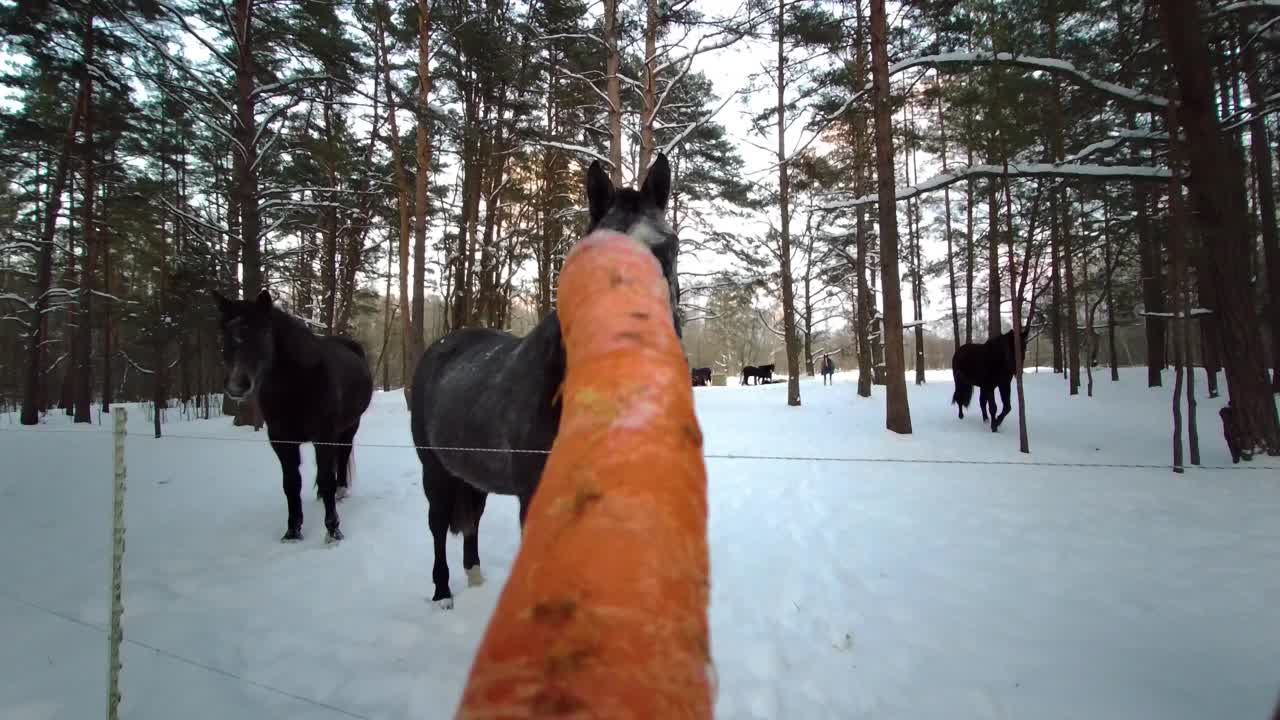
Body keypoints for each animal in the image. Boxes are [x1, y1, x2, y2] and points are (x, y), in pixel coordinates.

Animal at [212, 288, 373, 540]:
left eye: (264, 332)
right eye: (225, 335)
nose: (237, 386)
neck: (297, 384)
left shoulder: (324, 436)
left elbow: (327, 480)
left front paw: (333, 531)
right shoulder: (281, 440)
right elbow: (291, 484)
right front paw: (292, 530)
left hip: (350, 425)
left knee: (343, 454)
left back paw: (341, 490)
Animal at [409, 152, 680, 604]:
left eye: (668, 250)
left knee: (471, 520)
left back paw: (475, 577)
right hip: (436, 470)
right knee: (437, 526)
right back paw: (443, 592)